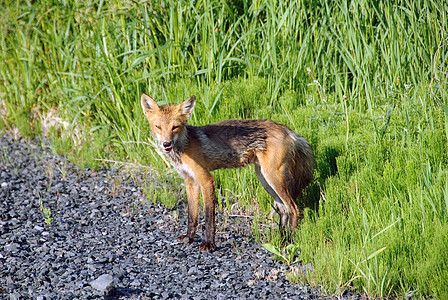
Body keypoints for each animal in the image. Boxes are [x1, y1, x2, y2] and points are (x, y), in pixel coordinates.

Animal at [142, 93, 314, 251]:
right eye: (158, 127)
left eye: (175, 127)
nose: (166, 144)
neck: (184, 146)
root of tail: (287, 130)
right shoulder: (190, 181)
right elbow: (192, 215)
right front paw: (189, 237)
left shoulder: (206, 180)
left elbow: (209, 216)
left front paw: (209, 244)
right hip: (265, 179)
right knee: (284, 209)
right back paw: (281, 239)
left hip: (273, 177)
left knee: (293, 209)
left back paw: (289, 242)